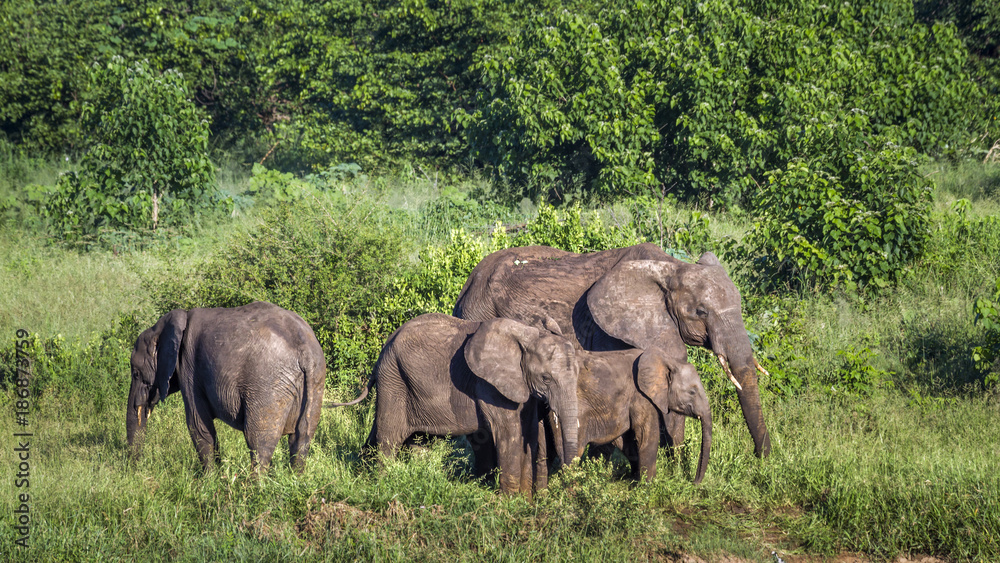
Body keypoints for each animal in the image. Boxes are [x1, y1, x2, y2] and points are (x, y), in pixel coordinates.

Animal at [126, 301, 327, 472]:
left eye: (135, 373)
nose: (135, 468)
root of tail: (306, 352)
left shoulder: (189, 368)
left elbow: (197, 424)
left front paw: (209, 481)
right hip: (315, 380)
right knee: (301, 439)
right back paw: (294, 479)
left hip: (268, 385)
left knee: (258, 441)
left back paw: (255, 488)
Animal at [328, 313, 579, 498]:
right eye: (546, 378)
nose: (567, 491)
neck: (528, 333)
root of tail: (384, 346)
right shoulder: (488, 384)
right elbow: (509, 432)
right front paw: (510, 502)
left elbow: (530, 431)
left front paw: (526, 501)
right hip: (394, 380)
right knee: (389, 436)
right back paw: (383, 483)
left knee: (415, 441)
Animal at [453, 243, 771, 458]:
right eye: (701, 312)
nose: (762, 458)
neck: (670, 267)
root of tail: (468, 282)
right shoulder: (609, 330)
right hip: (477, 313)